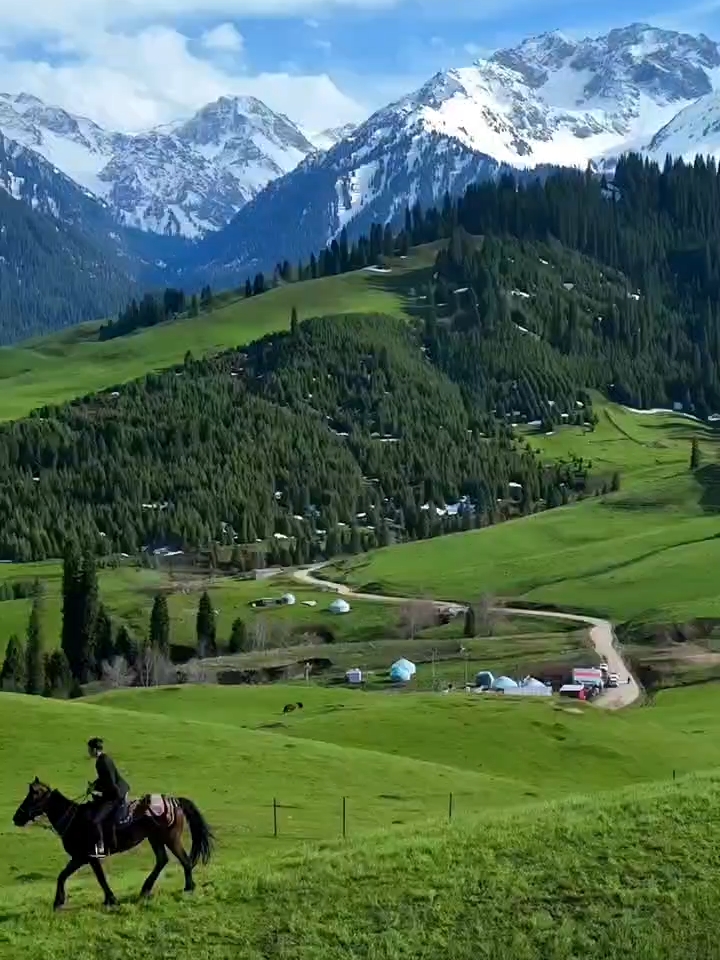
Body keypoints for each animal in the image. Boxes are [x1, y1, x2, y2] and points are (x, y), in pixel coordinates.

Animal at [12, 776, 212, 912]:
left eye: (33, 795)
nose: (16, 818)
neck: (74, 819)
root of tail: (174, 801)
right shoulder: (80, 858)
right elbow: (63, 875)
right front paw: (58, 901)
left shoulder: (87, 857)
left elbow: (99, 878)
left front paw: (111, 900)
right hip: (155, 839)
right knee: (162, 860)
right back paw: (145, 890)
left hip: (170, 838)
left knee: (185, 860)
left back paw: (188, 888)